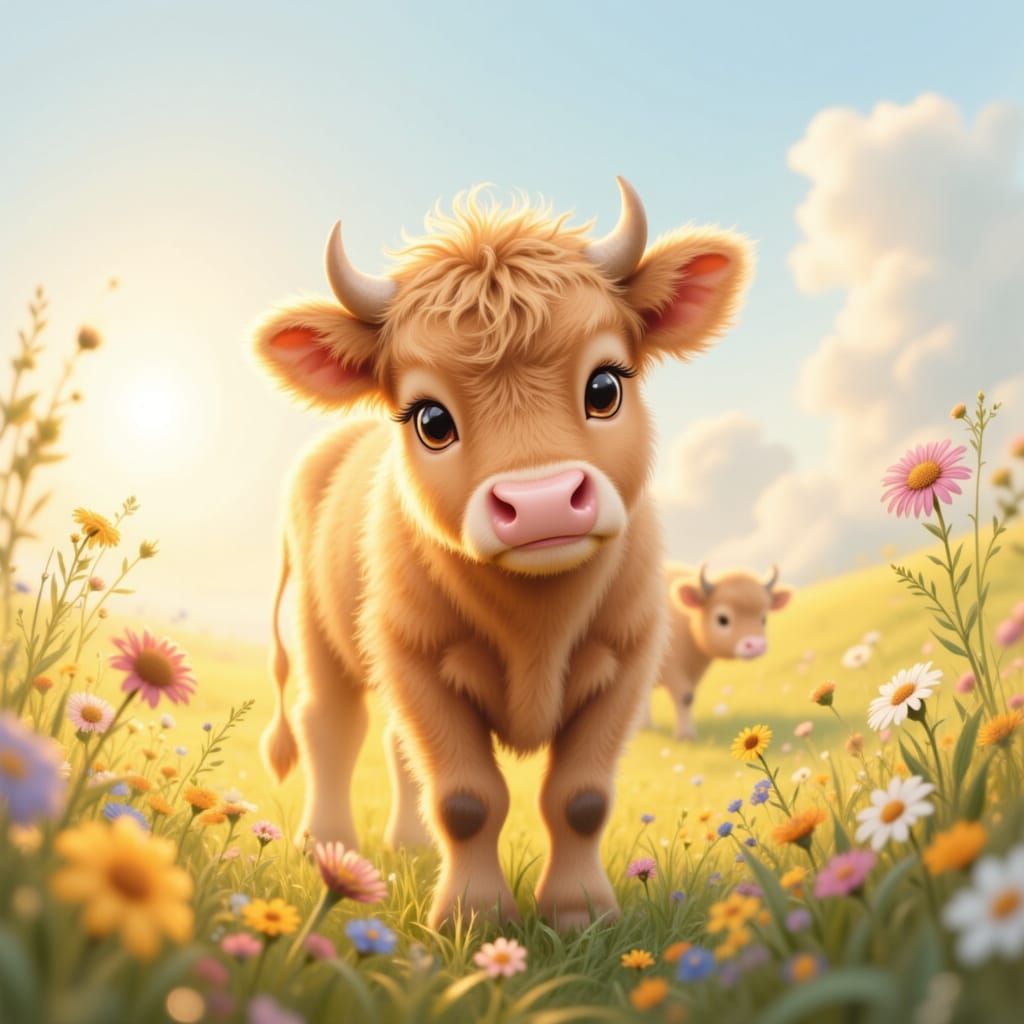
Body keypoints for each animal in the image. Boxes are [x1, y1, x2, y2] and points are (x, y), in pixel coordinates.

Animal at [252, 179, 752, 930]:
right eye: (430, 420)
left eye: (606, 386)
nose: (541, 503)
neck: (535, 623)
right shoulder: (415, 659)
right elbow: (467, 800)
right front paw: (474, 918)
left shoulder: (628, 660)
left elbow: (580, 798)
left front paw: (580, 913)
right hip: (321, 633)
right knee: (331, 727)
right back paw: (329, 845)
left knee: (394, 746)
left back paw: (406, 845)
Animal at [649, 563, 792, 740]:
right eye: (722, 619)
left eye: (763, 618)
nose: (757, 645)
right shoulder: (672, 669)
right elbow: (685, 698)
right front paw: (686, 735)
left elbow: (690, 697)